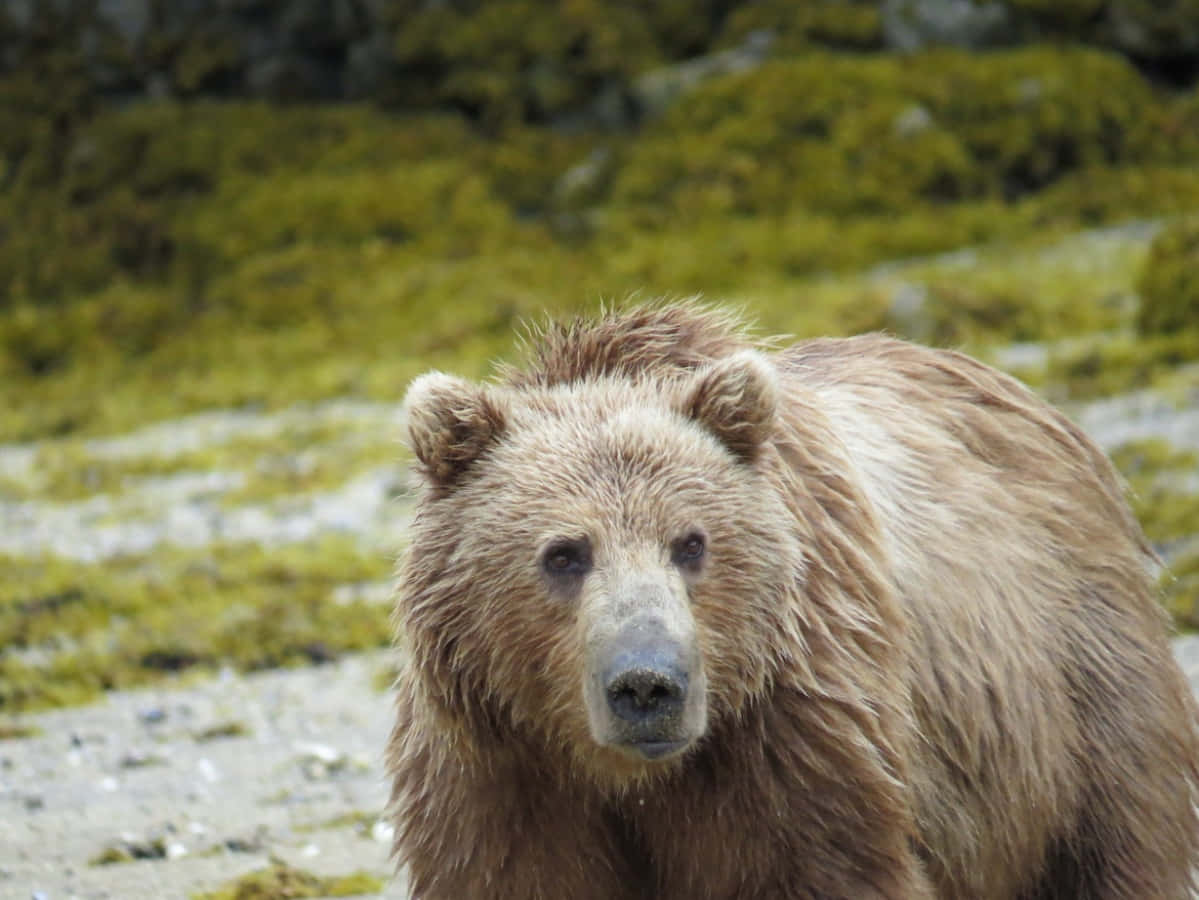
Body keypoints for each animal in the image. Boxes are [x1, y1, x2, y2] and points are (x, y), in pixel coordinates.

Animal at [386, 303, 1199, 899]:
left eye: (692, 543)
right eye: (564, 553)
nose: (648, 684)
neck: (636, 781)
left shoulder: (798, 745)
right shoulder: (502, 777)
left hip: (1075, 703)